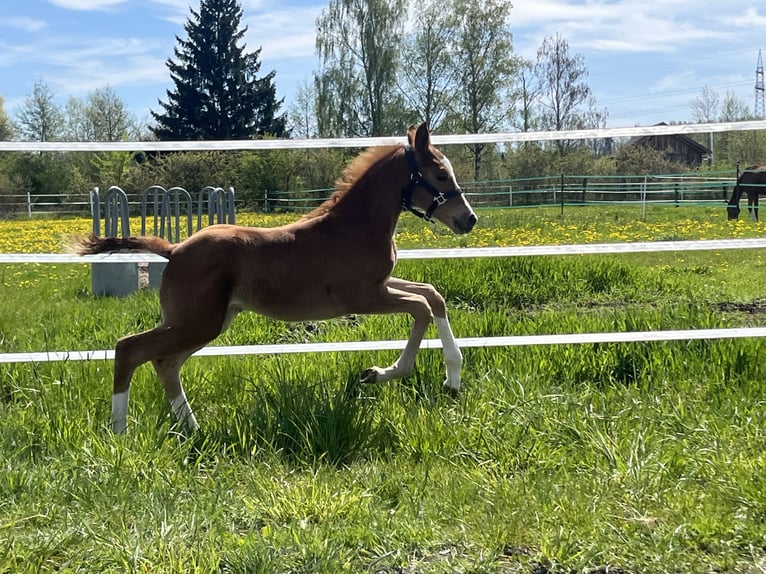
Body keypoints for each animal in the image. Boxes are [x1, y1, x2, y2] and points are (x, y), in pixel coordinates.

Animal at [74, 123, 478, 434]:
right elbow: (421, 306)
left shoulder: (380, 286)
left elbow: (432, 295)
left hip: (206, 321)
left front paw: (451, 379)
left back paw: (193, 429)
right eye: (440, 174)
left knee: (164, 363)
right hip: (197, 322)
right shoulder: (362, 296)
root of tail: (174, 250)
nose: (468, 219)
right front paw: (381, 372)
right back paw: (120, 431)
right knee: (130, 348)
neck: (353, 227)